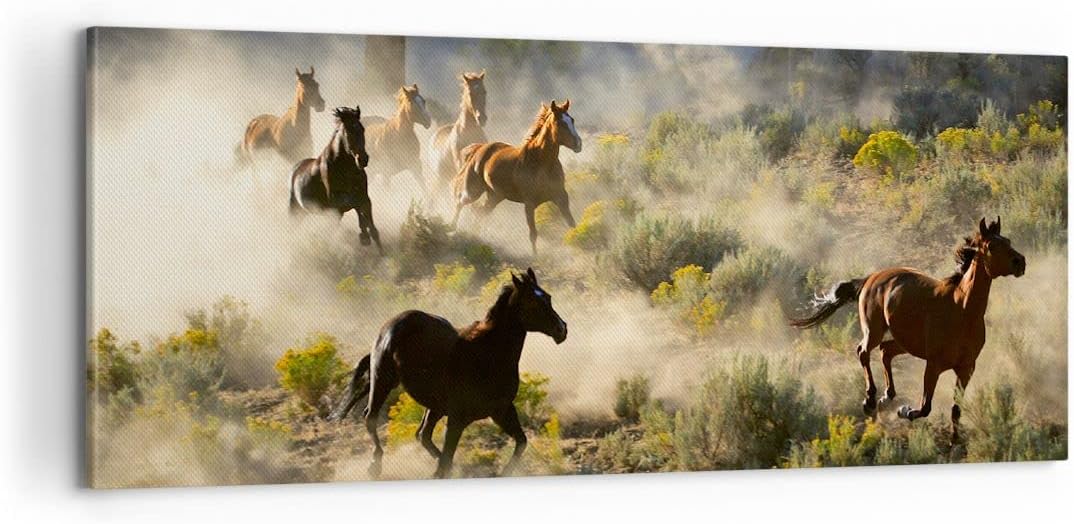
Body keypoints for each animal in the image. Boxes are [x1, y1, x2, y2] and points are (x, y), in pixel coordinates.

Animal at [289, 106, 383, 255]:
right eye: (349, 131)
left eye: (362, 129)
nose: (363, 159)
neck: (345, 168)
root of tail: (295, 169)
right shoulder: (338, 205)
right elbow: (356, 206)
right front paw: (364, 236)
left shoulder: (365, 199)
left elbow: (373, 230)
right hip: (296, 210)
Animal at [328, 268, 568, 479]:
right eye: (534, 302)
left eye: (548, 297)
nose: (562, 329)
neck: (488, 354)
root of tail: (390, 325)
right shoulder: (458, 419)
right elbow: (445, 458)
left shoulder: (501, 410)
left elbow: (521, 441)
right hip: (383, 381)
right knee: (370, 417)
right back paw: (375, 465)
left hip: (432, 405)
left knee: (422, 435)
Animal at [449, 100, 582, 254]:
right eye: (560, 123)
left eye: (572, 120)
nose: (578, 144)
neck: (542, 163)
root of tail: (479, 149)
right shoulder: (529, 203)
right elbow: (533, 234)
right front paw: (535, 257)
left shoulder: (561, 197)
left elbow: (572, 225)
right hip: (473, 191)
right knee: (460, 202)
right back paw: (451, 228)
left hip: (495, 196)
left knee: (480, 212)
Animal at [790, 218, 1025, 440]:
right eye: (991, 246)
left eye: (1008, 241)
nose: (1020, 262)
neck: (962, 310)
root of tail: (871, 278)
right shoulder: (934, 365)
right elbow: (925, 407)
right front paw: (904, 411)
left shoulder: (966, 368)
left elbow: (956, 409)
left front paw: (955, 441)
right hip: (874, 330)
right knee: (863, 351)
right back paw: (870, 400)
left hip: (905, 341)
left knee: (885, 351)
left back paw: (886, 397)